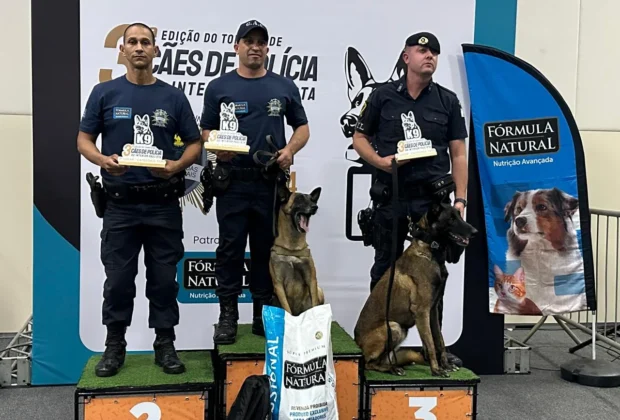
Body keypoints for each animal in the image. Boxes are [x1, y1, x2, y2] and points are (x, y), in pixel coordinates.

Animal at [268, 184, 324, 316]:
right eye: (299, 199)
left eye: (312, 200)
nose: (315, 207)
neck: (292, 248)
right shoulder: (278, 284)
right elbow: (286, 308)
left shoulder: (311, 280)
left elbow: (314, 304)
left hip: (320, 290)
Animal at [354, 198, 480, 378]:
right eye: (451, 219)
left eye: (459, 215)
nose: (475, 231)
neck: (430, 249)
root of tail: (357, 343)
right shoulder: (422, 312)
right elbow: (430, 343)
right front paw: (436, 370)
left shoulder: (432, 311)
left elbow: (439, 340)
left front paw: (445, 365)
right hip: (393, 327)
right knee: (370, 364)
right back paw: (393, 368)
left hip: (400, 331)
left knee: (381, 360)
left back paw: (394, 365)